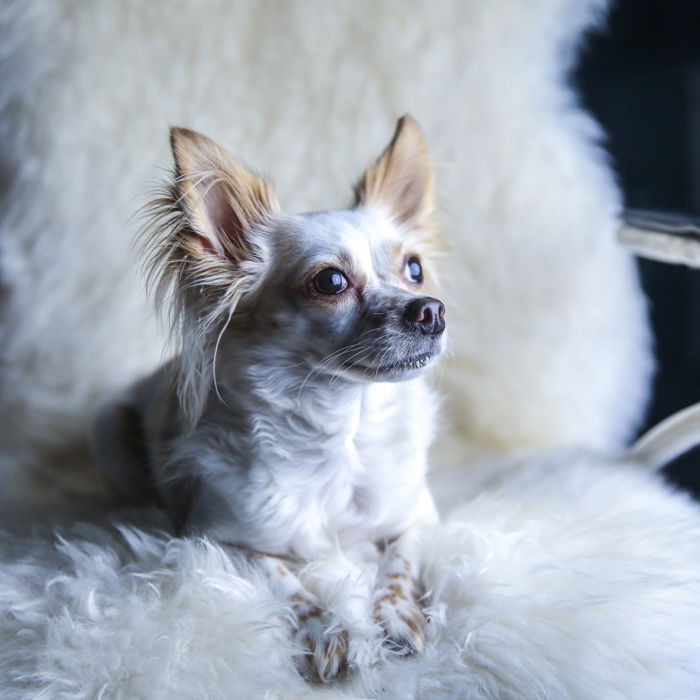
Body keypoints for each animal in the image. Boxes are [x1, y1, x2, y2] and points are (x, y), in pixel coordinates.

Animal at [91, 117, 448, 680]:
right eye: (331, 280)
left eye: (414, 269)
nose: (431, 310)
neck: (342, 431)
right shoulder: (217, 540)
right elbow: (285, 578)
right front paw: (329, 629)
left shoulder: (418, 514)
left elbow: (399, 562)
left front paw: (393, 615)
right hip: (107, 428)